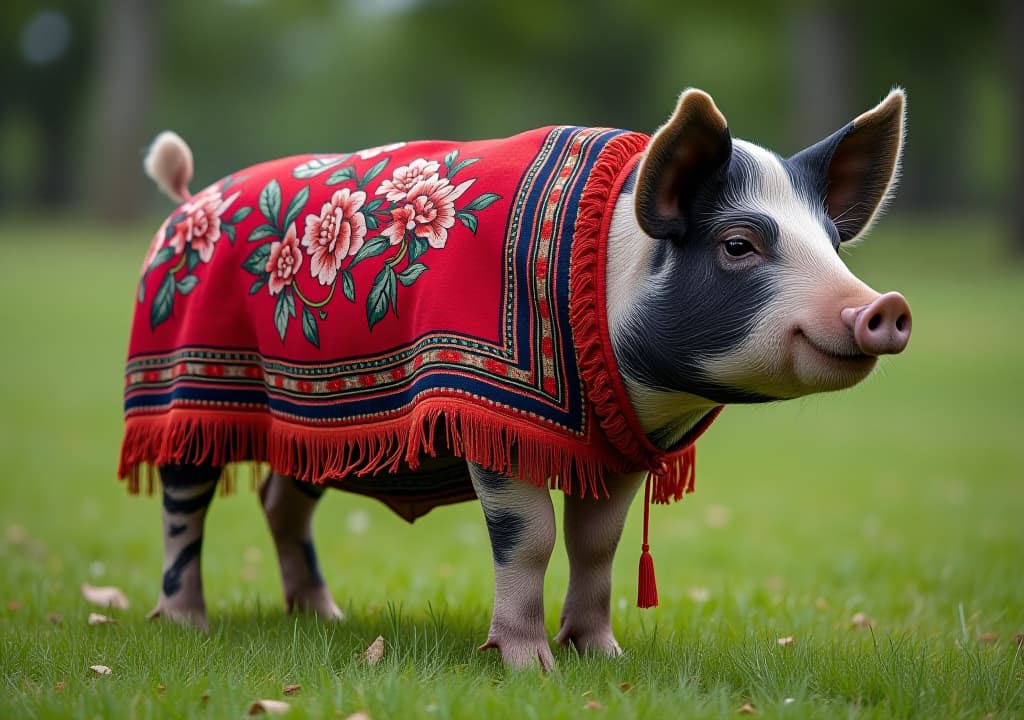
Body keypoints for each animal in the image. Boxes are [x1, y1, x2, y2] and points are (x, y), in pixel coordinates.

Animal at [132, 88, 909, 671]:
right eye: (739, 244)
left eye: (833, 244)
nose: (886, 307)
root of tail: (186, 202)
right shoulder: (494, 419)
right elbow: (529, 536)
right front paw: (530, 667)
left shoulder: (618, 447)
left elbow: (598, 543)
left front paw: (605, 658)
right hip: (177, 389)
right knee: (183, 500)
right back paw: (187, 624)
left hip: (317, 426)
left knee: (281, 500)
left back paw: (325, 617)